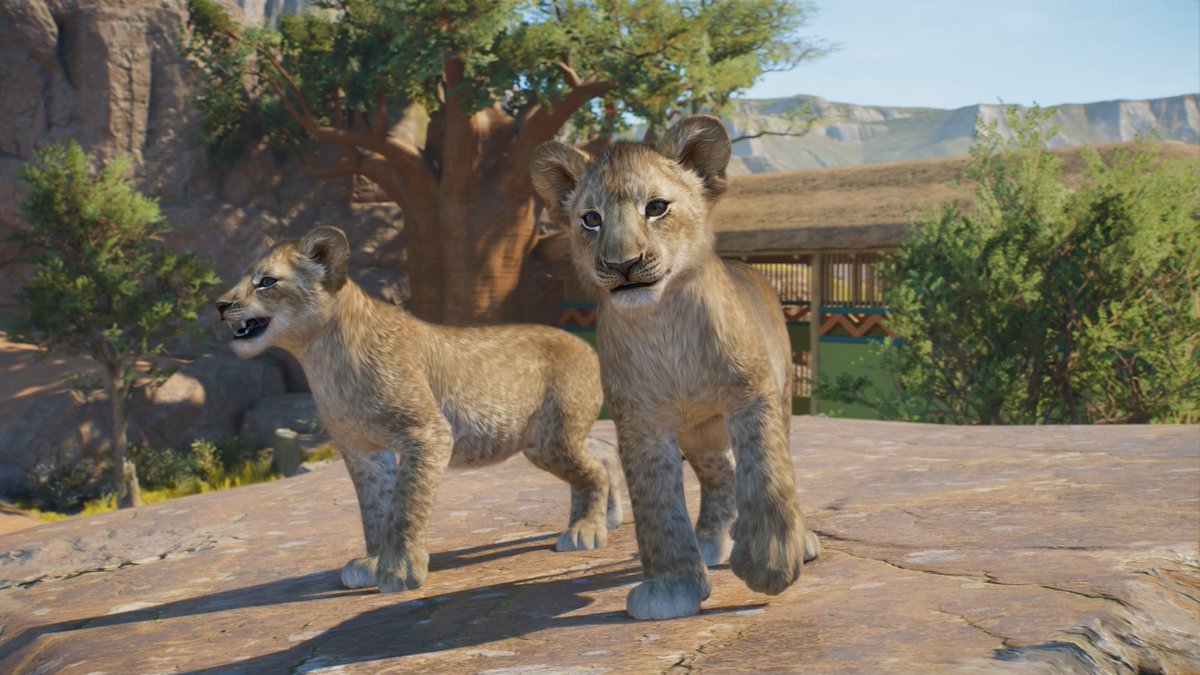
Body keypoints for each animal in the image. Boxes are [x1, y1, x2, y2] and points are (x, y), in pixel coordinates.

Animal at [215, 226, 622, 593]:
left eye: (267, 282)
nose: (220, 305)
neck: (320, 355)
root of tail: (585, 344)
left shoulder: (427, 434)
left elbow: (405, 505)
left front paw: (399, 570)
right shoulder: (361, 449)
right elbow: (375, 507)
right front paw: (372, 561)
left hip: (553, 438)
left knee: (590, 472)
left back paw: (585, 531)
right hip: (542, 440)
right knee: (602, 452)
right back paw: (613, 517)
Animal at [530, 115, 819, 620]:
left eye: (657, 207)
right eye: (591, 218)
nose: (622, 265)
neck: (663, 327)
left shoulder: (753, 396)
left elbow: (767, 474)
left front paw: (769, 563)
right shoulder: (641, 426)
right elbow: (657, 508)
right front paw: (672, 588)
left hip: (775, 400)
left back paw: (788, 542)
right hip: (699, 435)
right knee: (720, 474)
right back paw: (711, 539)